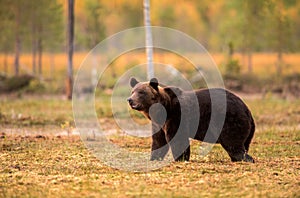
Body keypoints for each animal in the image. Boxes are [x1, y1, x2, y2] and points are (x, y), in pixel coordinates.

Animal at [127, 77, 255, 162]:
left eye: (141, 92)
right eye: (133, 91)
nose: (130, 100)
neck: (161, 110)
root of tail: (246, 109)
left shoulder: (176, 117)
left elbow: (178, 139)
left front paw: (180, 158)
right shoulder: (158, 124)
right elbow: (159, 141)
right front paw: (154, 158)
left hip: (229, 120)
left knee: (233, 144)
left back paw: (244, 159)